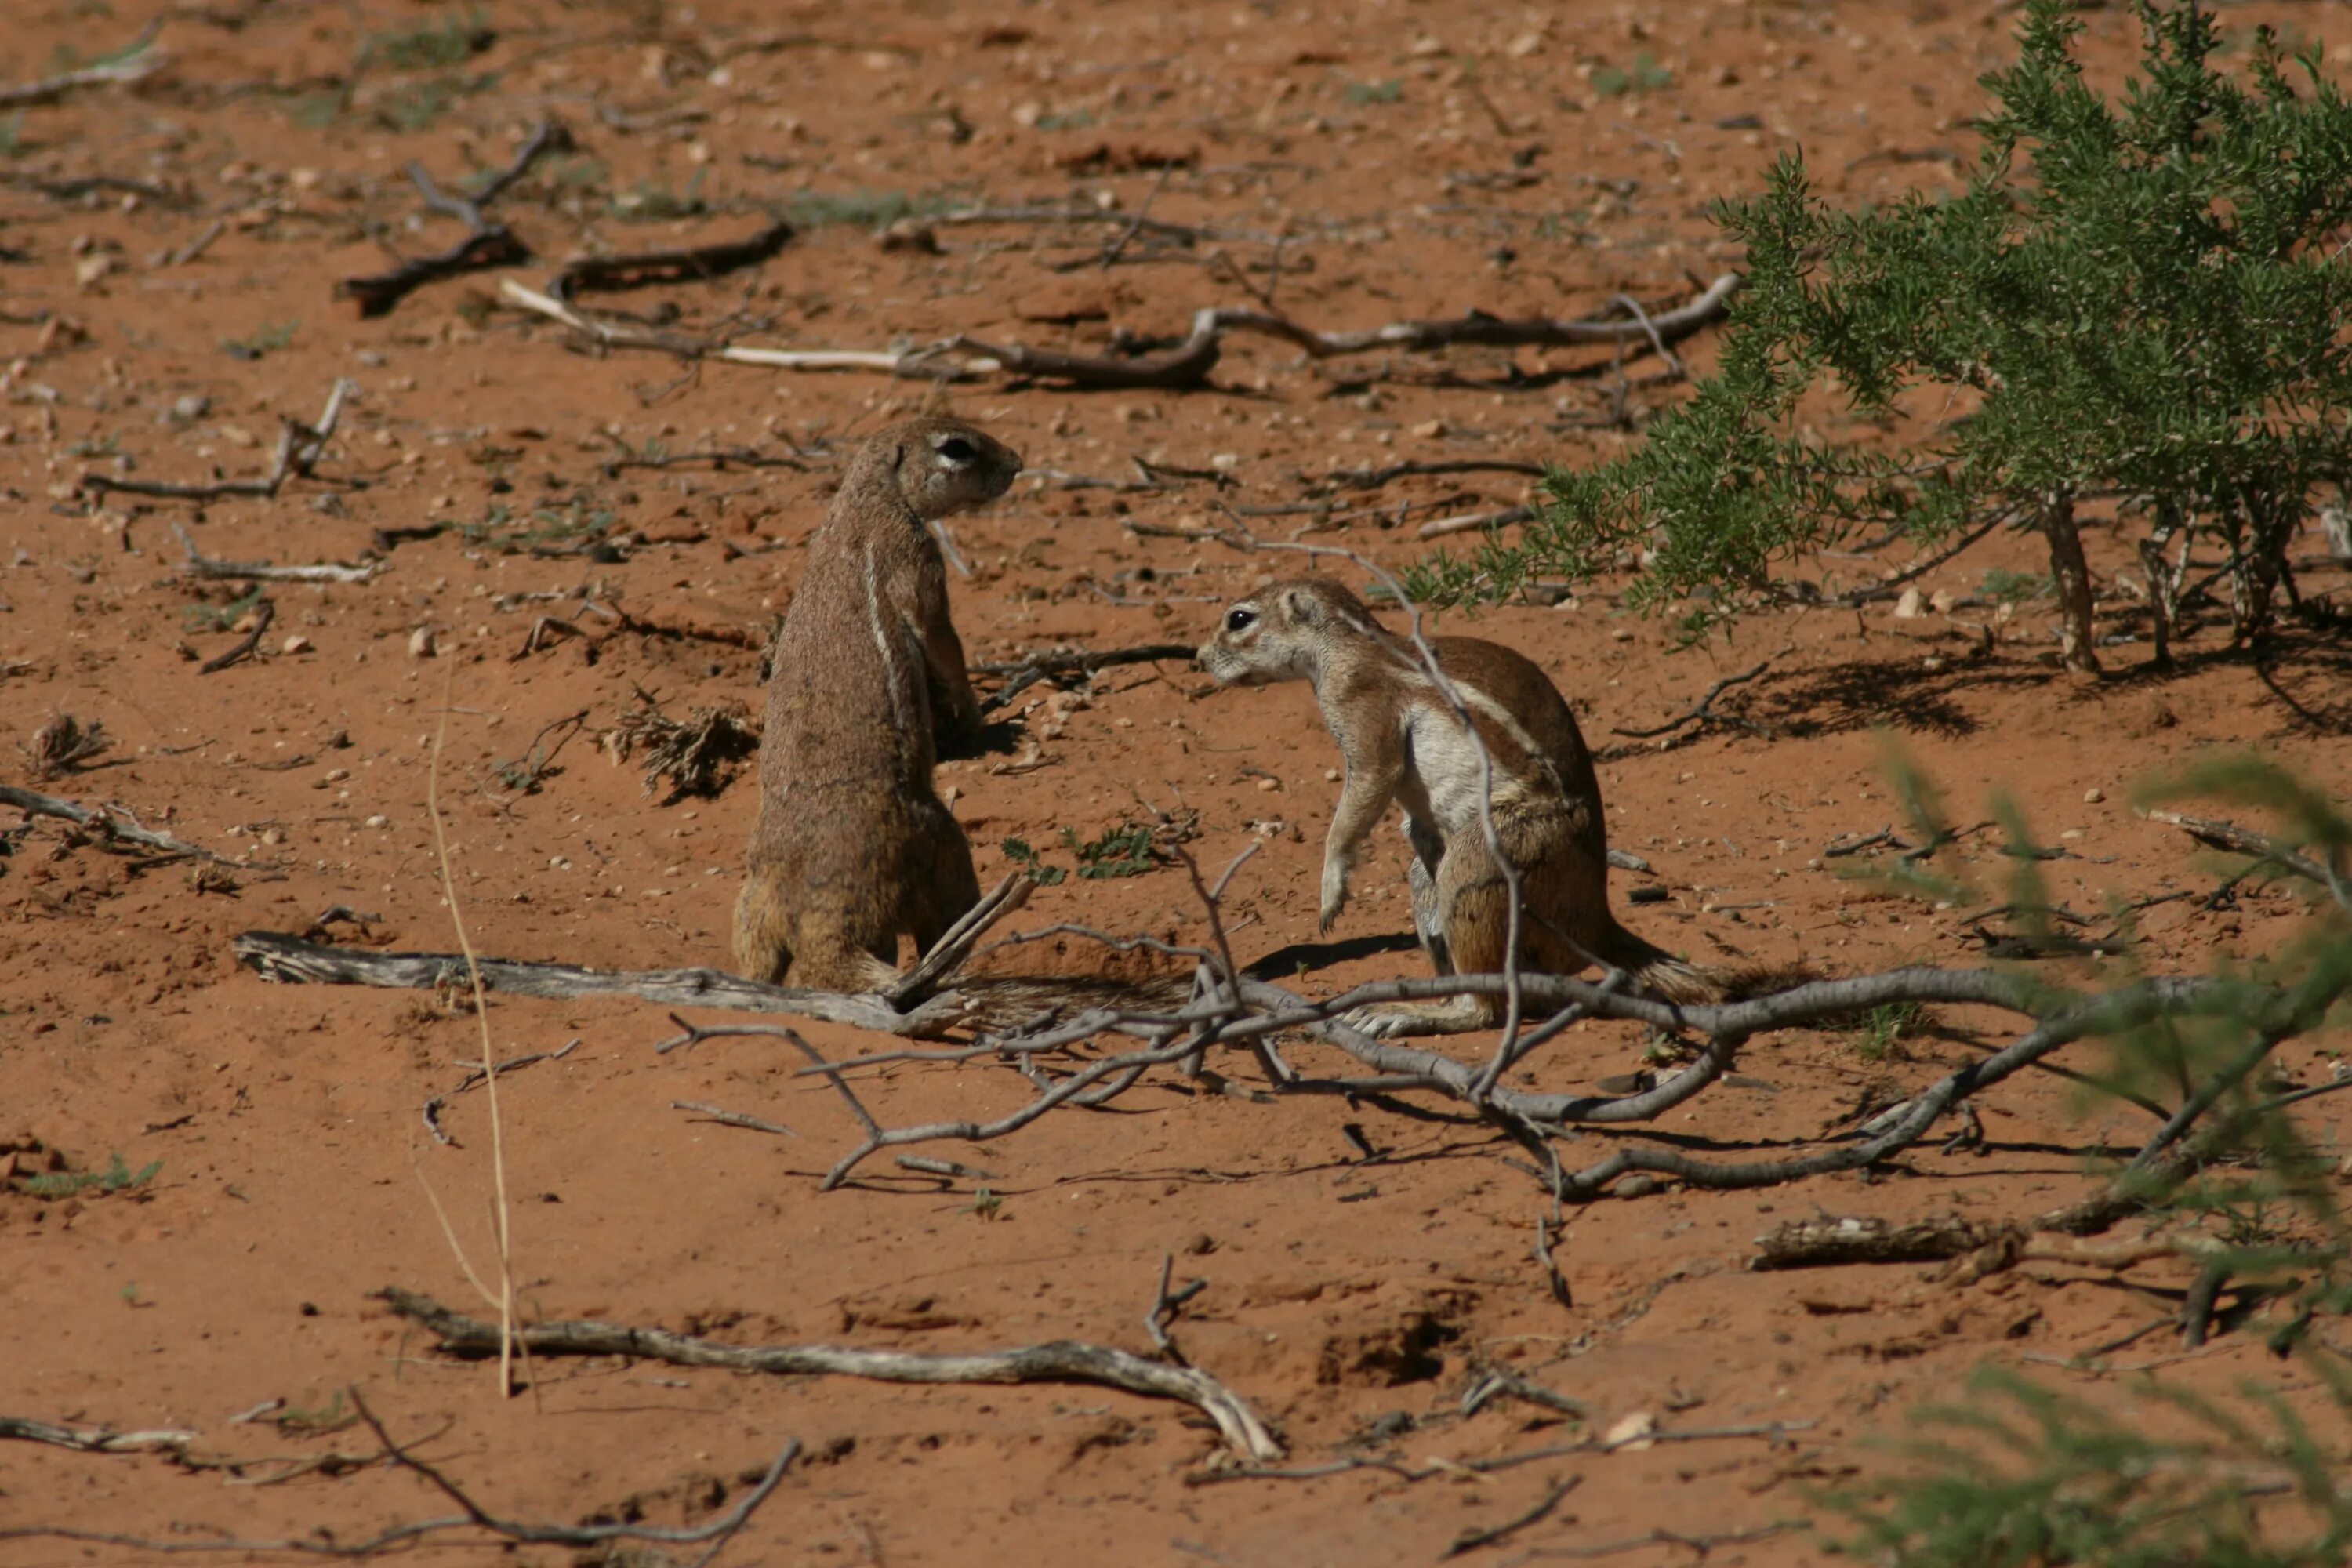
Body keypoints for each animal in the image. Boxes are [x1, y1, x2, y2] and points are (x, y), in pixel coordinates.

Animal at [734, 411, 1021, 987]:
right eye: (957, 448)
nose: (1019, 464)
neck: (863, 502)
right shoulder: (917, 556)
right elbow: (938, 634)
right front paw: (977, 716)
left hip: (752, 911)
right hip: (943, 850)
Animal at [1195, 583, 1769, 1034]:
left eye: (1240, 619)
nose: (1197, 659)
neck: (1347, 645)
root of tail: (1597, 921)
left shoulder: (1363, 710)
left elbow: (1361, 799)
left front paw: (1330, 894)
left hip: (1480, 864)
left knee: (1488, 1009)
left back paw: (1409, 1013)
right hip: (1433, 883)